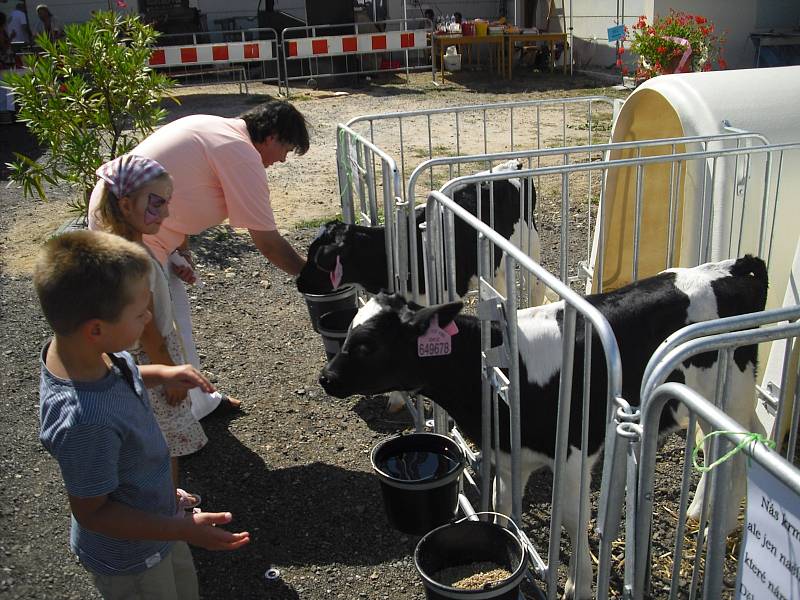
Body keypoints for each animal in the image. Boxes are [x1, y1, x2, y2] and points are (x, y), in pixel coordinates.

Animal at [318, 255, 768, 596]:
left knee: (734, 448)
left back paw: (718, 523)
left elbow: (569, 517)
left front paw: (578, 586)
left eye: (367, 344)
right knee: (736, 441)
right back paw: (702, 512)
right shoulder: (509, 454)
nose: (326, 377)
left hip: (728, 389)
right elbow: (503, 505)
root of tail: (733, 267)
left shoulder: (571, 454)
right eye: (349, 335)